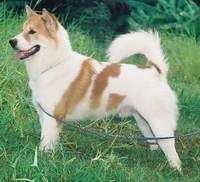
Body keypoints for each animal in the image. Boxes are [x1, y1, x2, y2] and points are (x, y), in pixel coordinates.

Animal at [9, 5, 181, 171]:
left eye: (32, 32)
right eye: (22, 30)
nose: (12, 41)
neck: (54, 64)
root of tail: (154, 70)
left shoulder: (53, 117)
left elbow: (46, 143)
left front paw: (44, 159)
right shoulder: (44, 115)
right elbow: (47, 139)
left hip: (159, 122)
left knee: (171, 150)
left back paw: (175, 170)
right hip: (143, 122)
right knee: (155, 143)